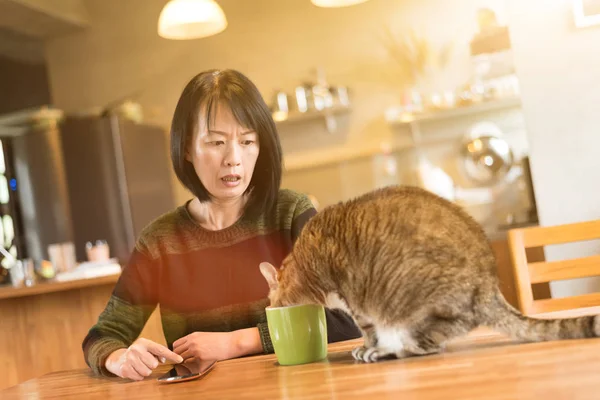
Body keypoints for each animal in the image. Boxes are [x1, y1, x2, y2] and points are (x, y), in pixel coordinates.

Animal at [258, 186, 600, 364]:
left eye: (271, 300)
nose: (270, 306)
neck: (303, 262)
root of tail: (488, 288)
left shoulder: (356, 303)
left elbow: (368, 330)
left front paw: (368, 347)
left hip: (411, 305)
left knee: (424, 344)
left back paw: (388, 350)